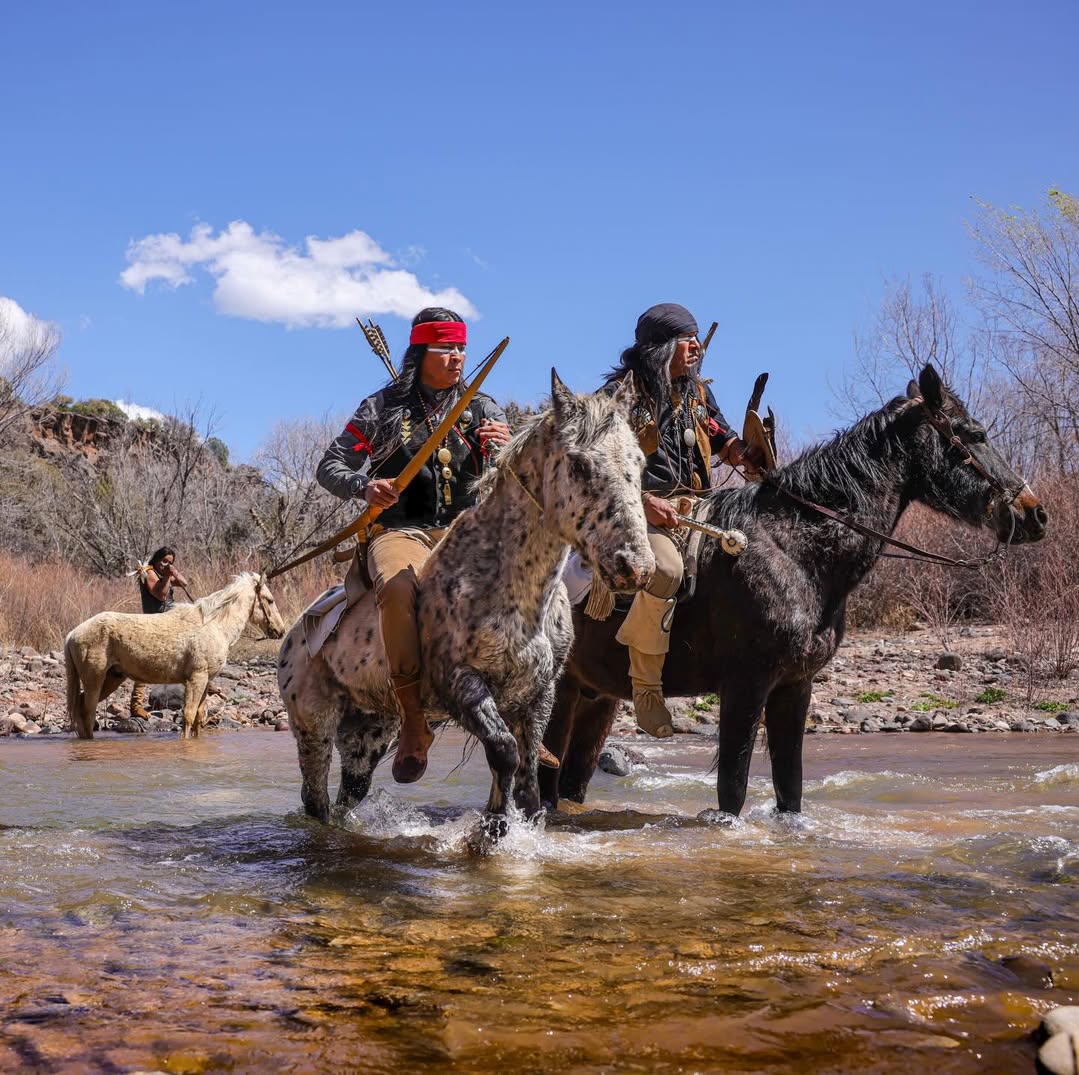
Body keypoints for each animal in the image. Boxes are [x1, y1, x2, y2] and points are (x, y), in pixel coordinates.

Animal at [65, 573, 287, 739]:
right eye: (270, 600)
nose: (281, 630)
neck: (213, 625)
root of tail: (72, 634)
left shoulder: (206, 681)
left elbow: (199, 717)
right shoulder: (196, 678)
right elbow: (188, 716)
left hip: (112, 678)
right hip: (95, 680)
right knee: (87, 712)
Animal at [277, 370, 655, 839]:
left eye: (639, 465)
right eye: (580, 464)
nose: (635, 567)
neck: (515, 591)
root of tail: (296, 631)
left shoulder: (538, 694)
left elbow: (528, 774)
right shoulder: (462, 683)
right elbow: (504, 751)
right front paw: (492, 827)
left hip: (369, 728)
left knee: (351, 793)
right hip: (313, 726)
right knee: (316, 799)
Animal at [541, 364, 1049, 820]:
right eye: (973, 433)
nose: (1035, 513)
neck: (793, 552)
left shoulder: (794, 687)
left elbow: (791, 791)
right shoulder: (746, 686)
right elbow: (732, 792)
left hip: (595, 698)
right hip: (560, 691)